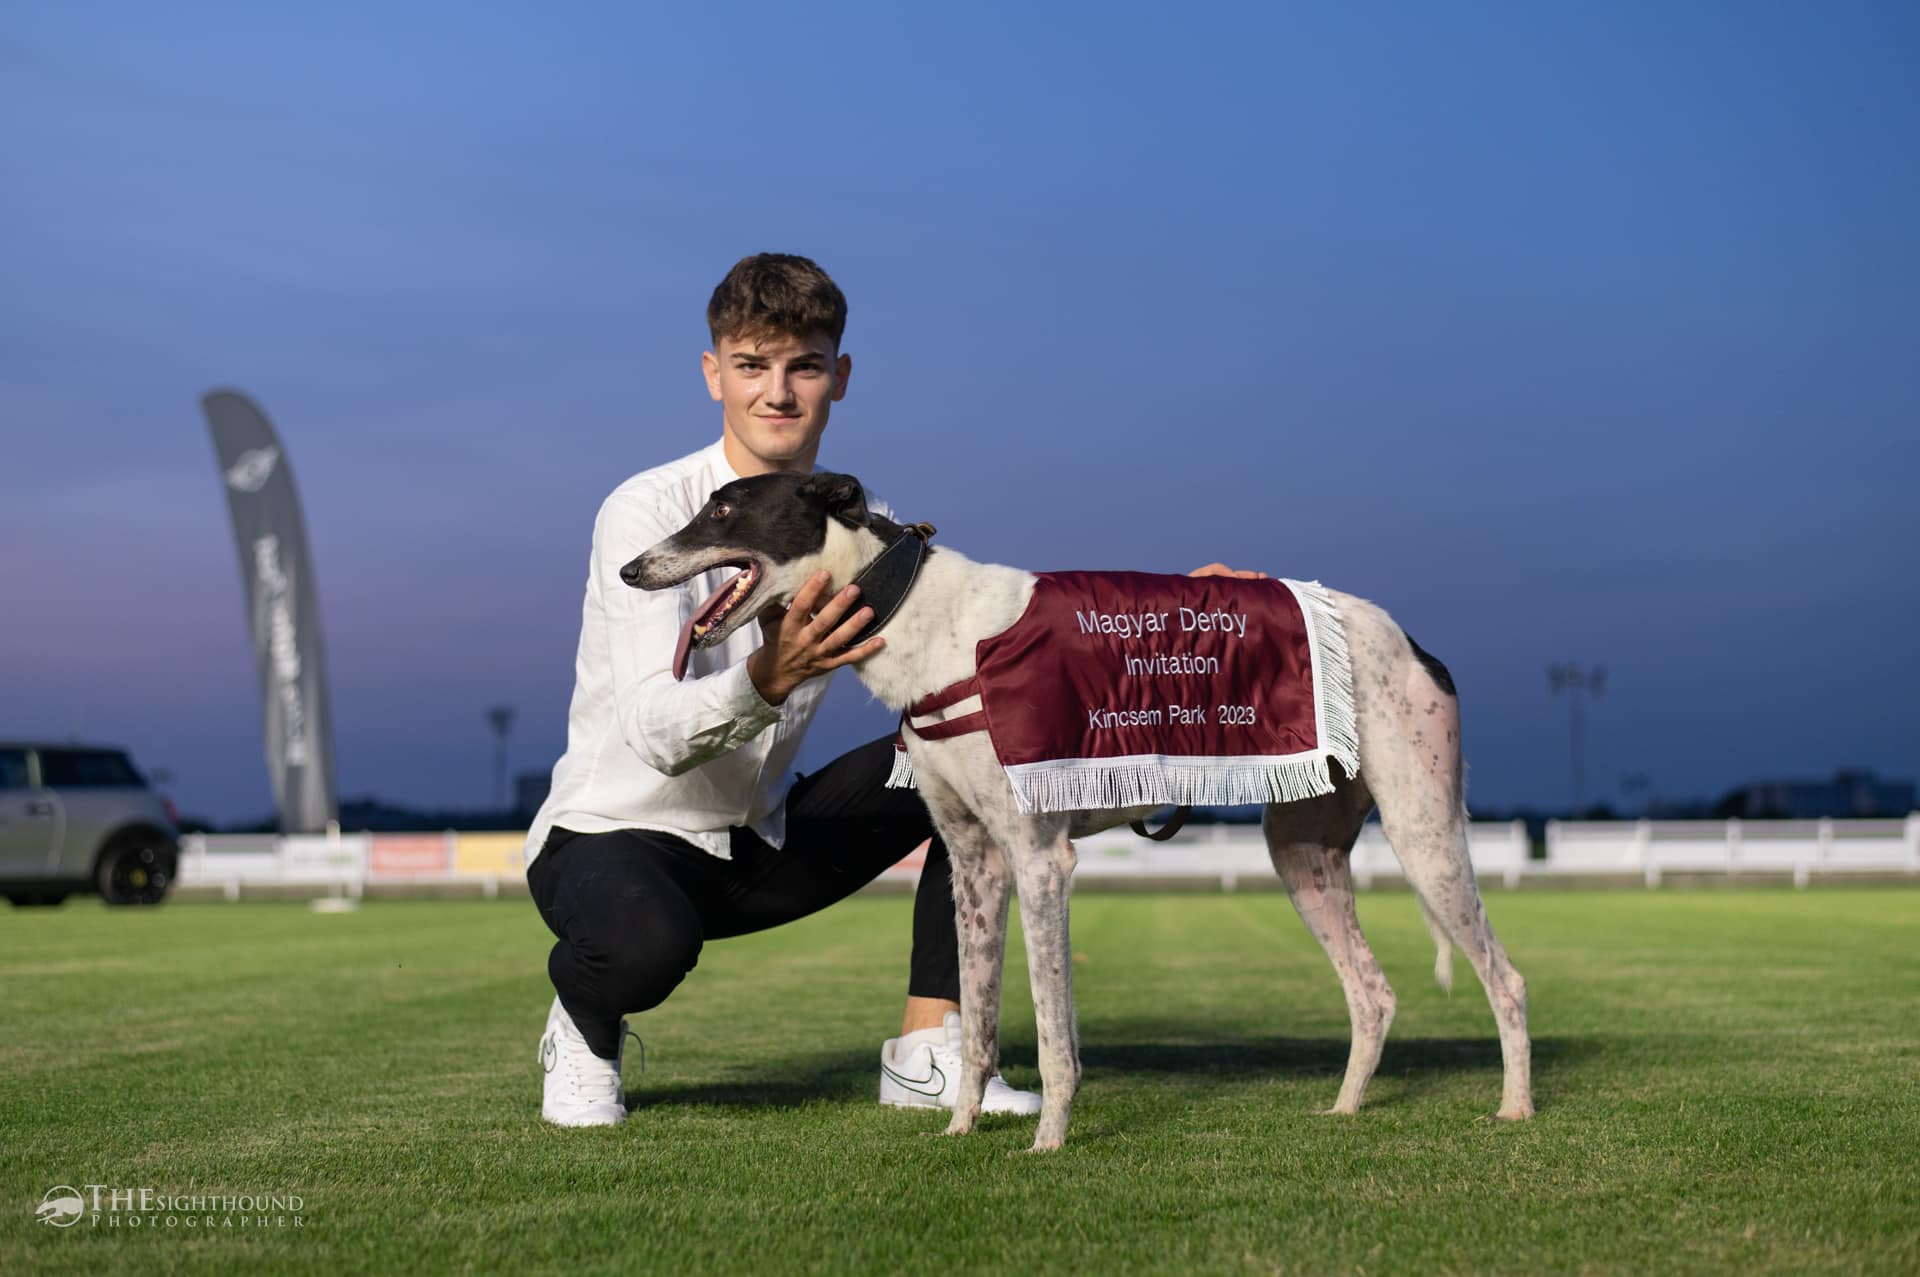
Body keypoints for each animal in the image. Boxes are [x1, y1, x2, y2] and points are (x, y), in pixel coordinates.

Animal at [629, 472, 1528, 1152]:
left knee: (1506, 977)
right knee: (1374, 993)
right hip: (1305, 854)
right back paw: (1344, 1107)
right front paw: (961, 1128)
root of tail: (1415, 644)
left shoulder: (1040, 861)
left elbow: (1054, 1030)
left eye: (725, 510)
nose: (630, 569)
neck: (925, 618)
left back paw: (1515, 1104)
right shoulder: (974, 865)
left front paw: (1049, 1140)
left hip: (1422, 831)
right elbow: (980, 1022)